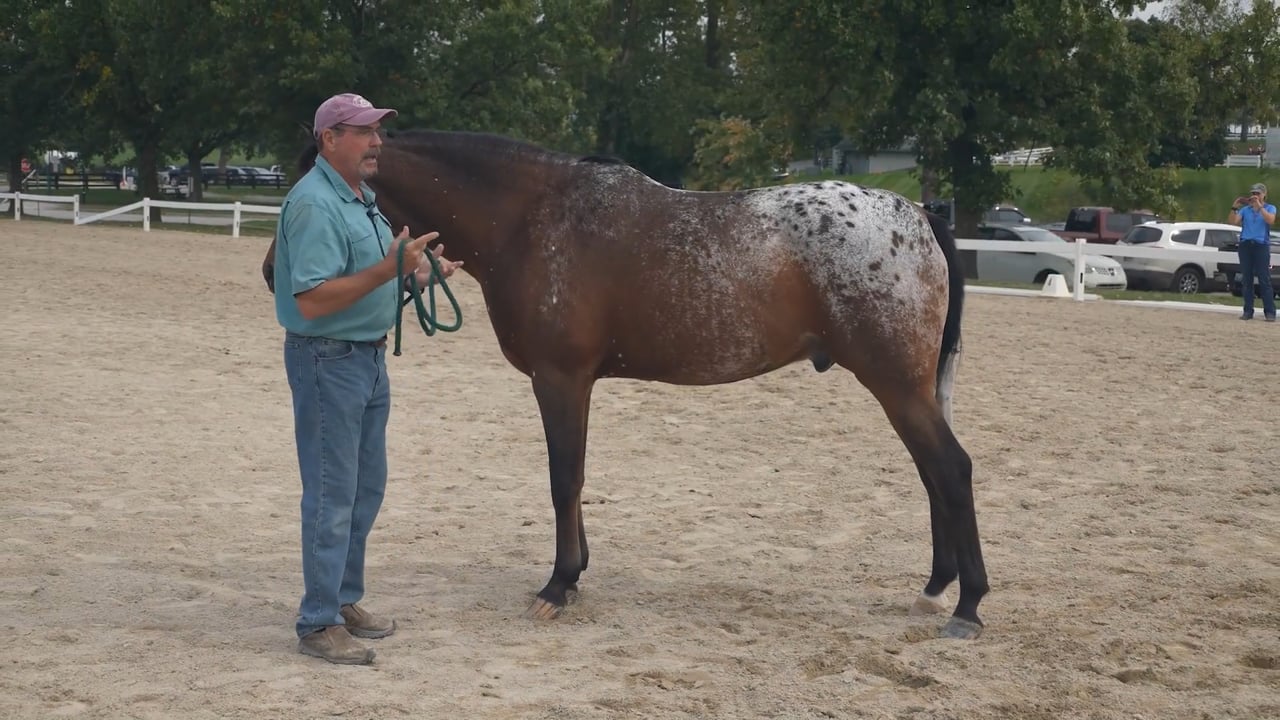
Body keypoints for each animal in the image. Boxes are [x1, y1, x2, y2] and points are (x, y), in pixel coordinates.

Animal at [261, 130, 988, 640]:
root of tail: (919, 214)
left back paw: (968, 604)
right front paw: (576, 574)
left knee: (951, 470)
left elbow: (564, 477)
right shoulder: (578, 382)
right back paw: (936, 588)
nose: (274, 273)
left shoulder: (559, 378)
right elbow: (576, 477)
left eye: (307, 191)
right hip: (910, 390)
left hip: (896, 385)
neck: (529, 217)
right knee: (933, 474)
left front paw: (557, 587)